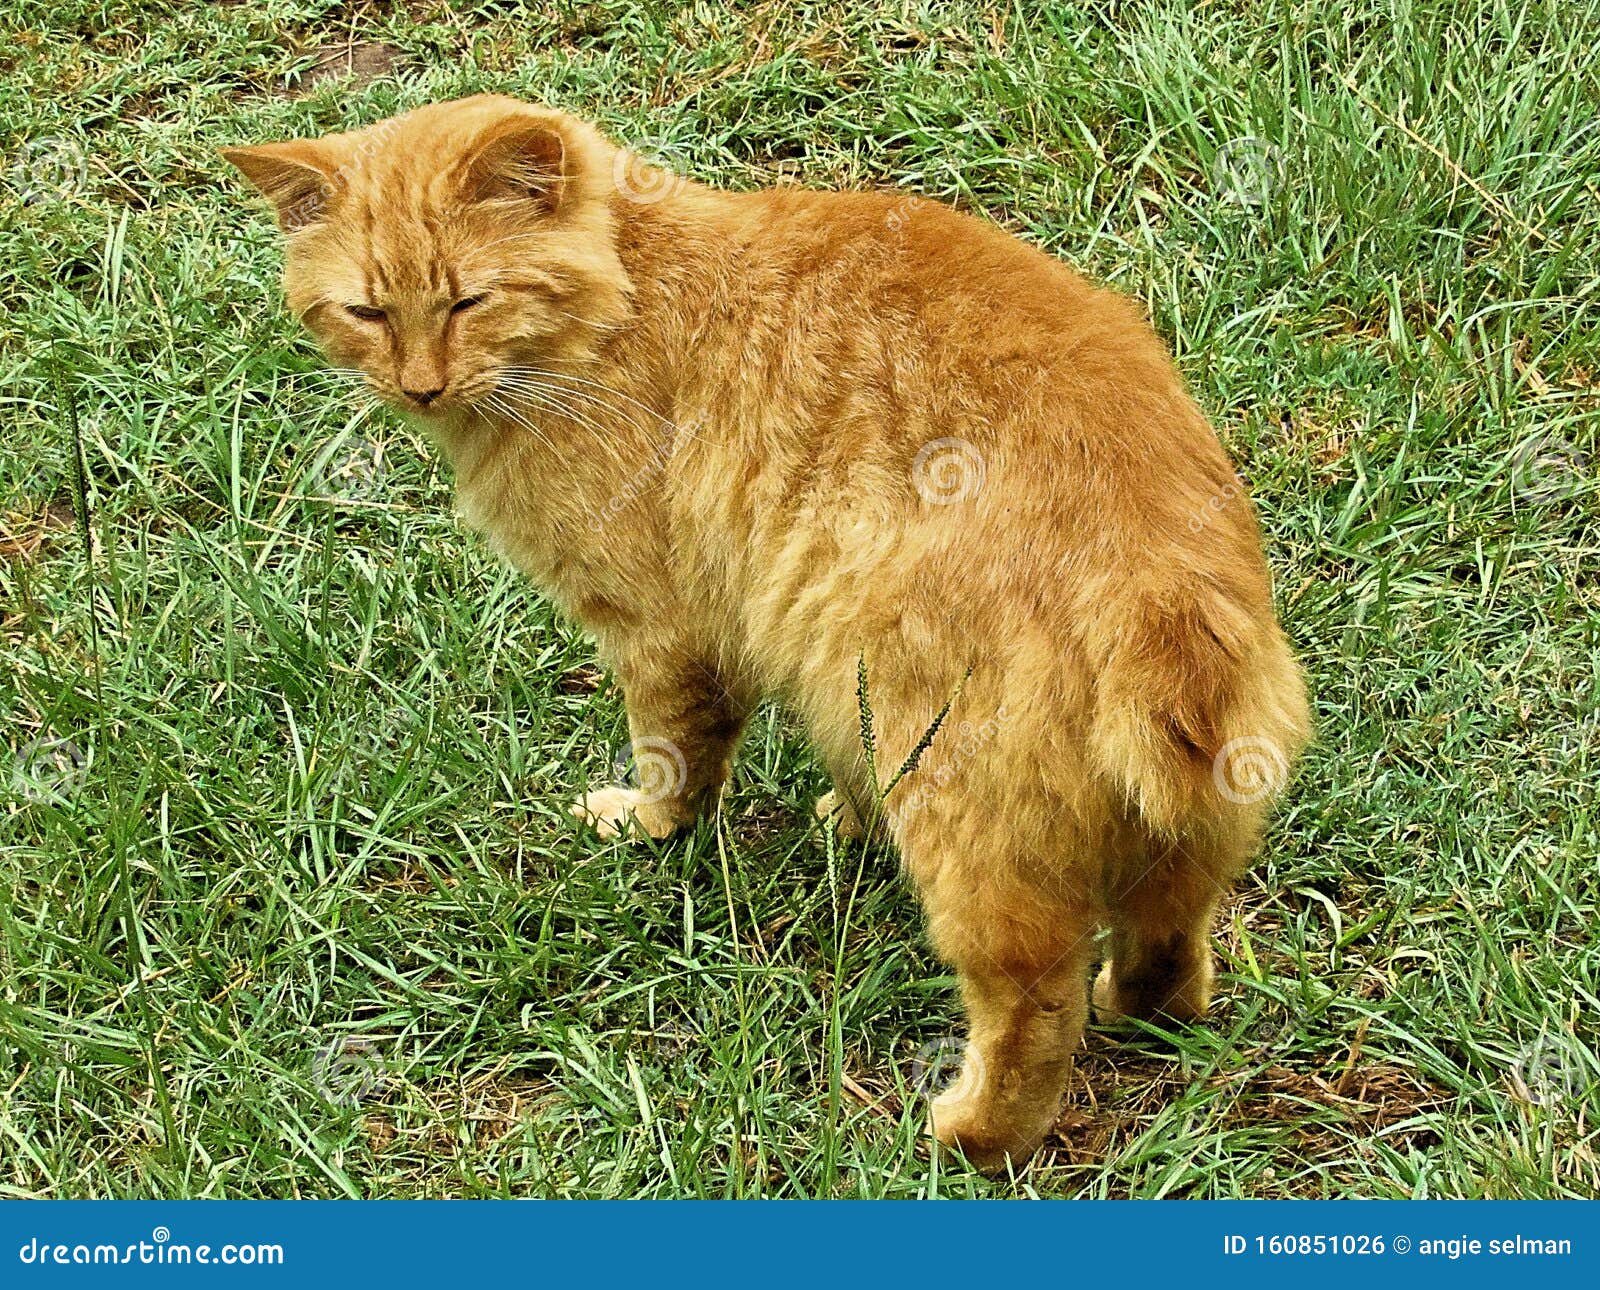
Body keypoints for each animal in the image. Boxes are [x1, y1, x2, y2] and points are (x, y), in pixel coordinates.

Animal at [225, 96, 1312, 1177]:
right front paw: (842, 816)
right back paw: (1137, 1011)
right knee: (1168, 947)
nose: (418, 386)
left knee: (1033, 997)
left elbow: (675, 762)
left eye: (466, 303)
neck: (628, 293)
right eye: (367, 313)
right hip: (1179, 825)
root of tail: (1158, 568)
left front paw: (650, 829)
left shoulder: (664, 632)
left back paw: (971, 1135)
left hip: (963, 816)